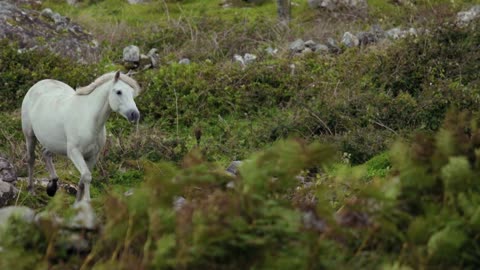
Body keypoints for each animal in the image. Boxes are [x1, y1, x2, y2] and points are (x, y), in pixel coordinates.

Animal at [21, 71, 141, 202]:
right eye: (119, 92)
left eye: (132, 93)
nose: (135, 115)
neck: (89, 119)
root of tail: (37, 84)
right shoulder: (74, 152)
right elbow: (87, 176)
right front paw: (87, 202)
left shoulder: (93, 156)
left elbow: (83, 179)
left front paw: (78, 202)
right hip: (29, 135)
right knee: (31, 159)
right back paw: (31, 191)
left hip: (53, 143)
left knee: (46, 153)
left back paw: (52, 187)